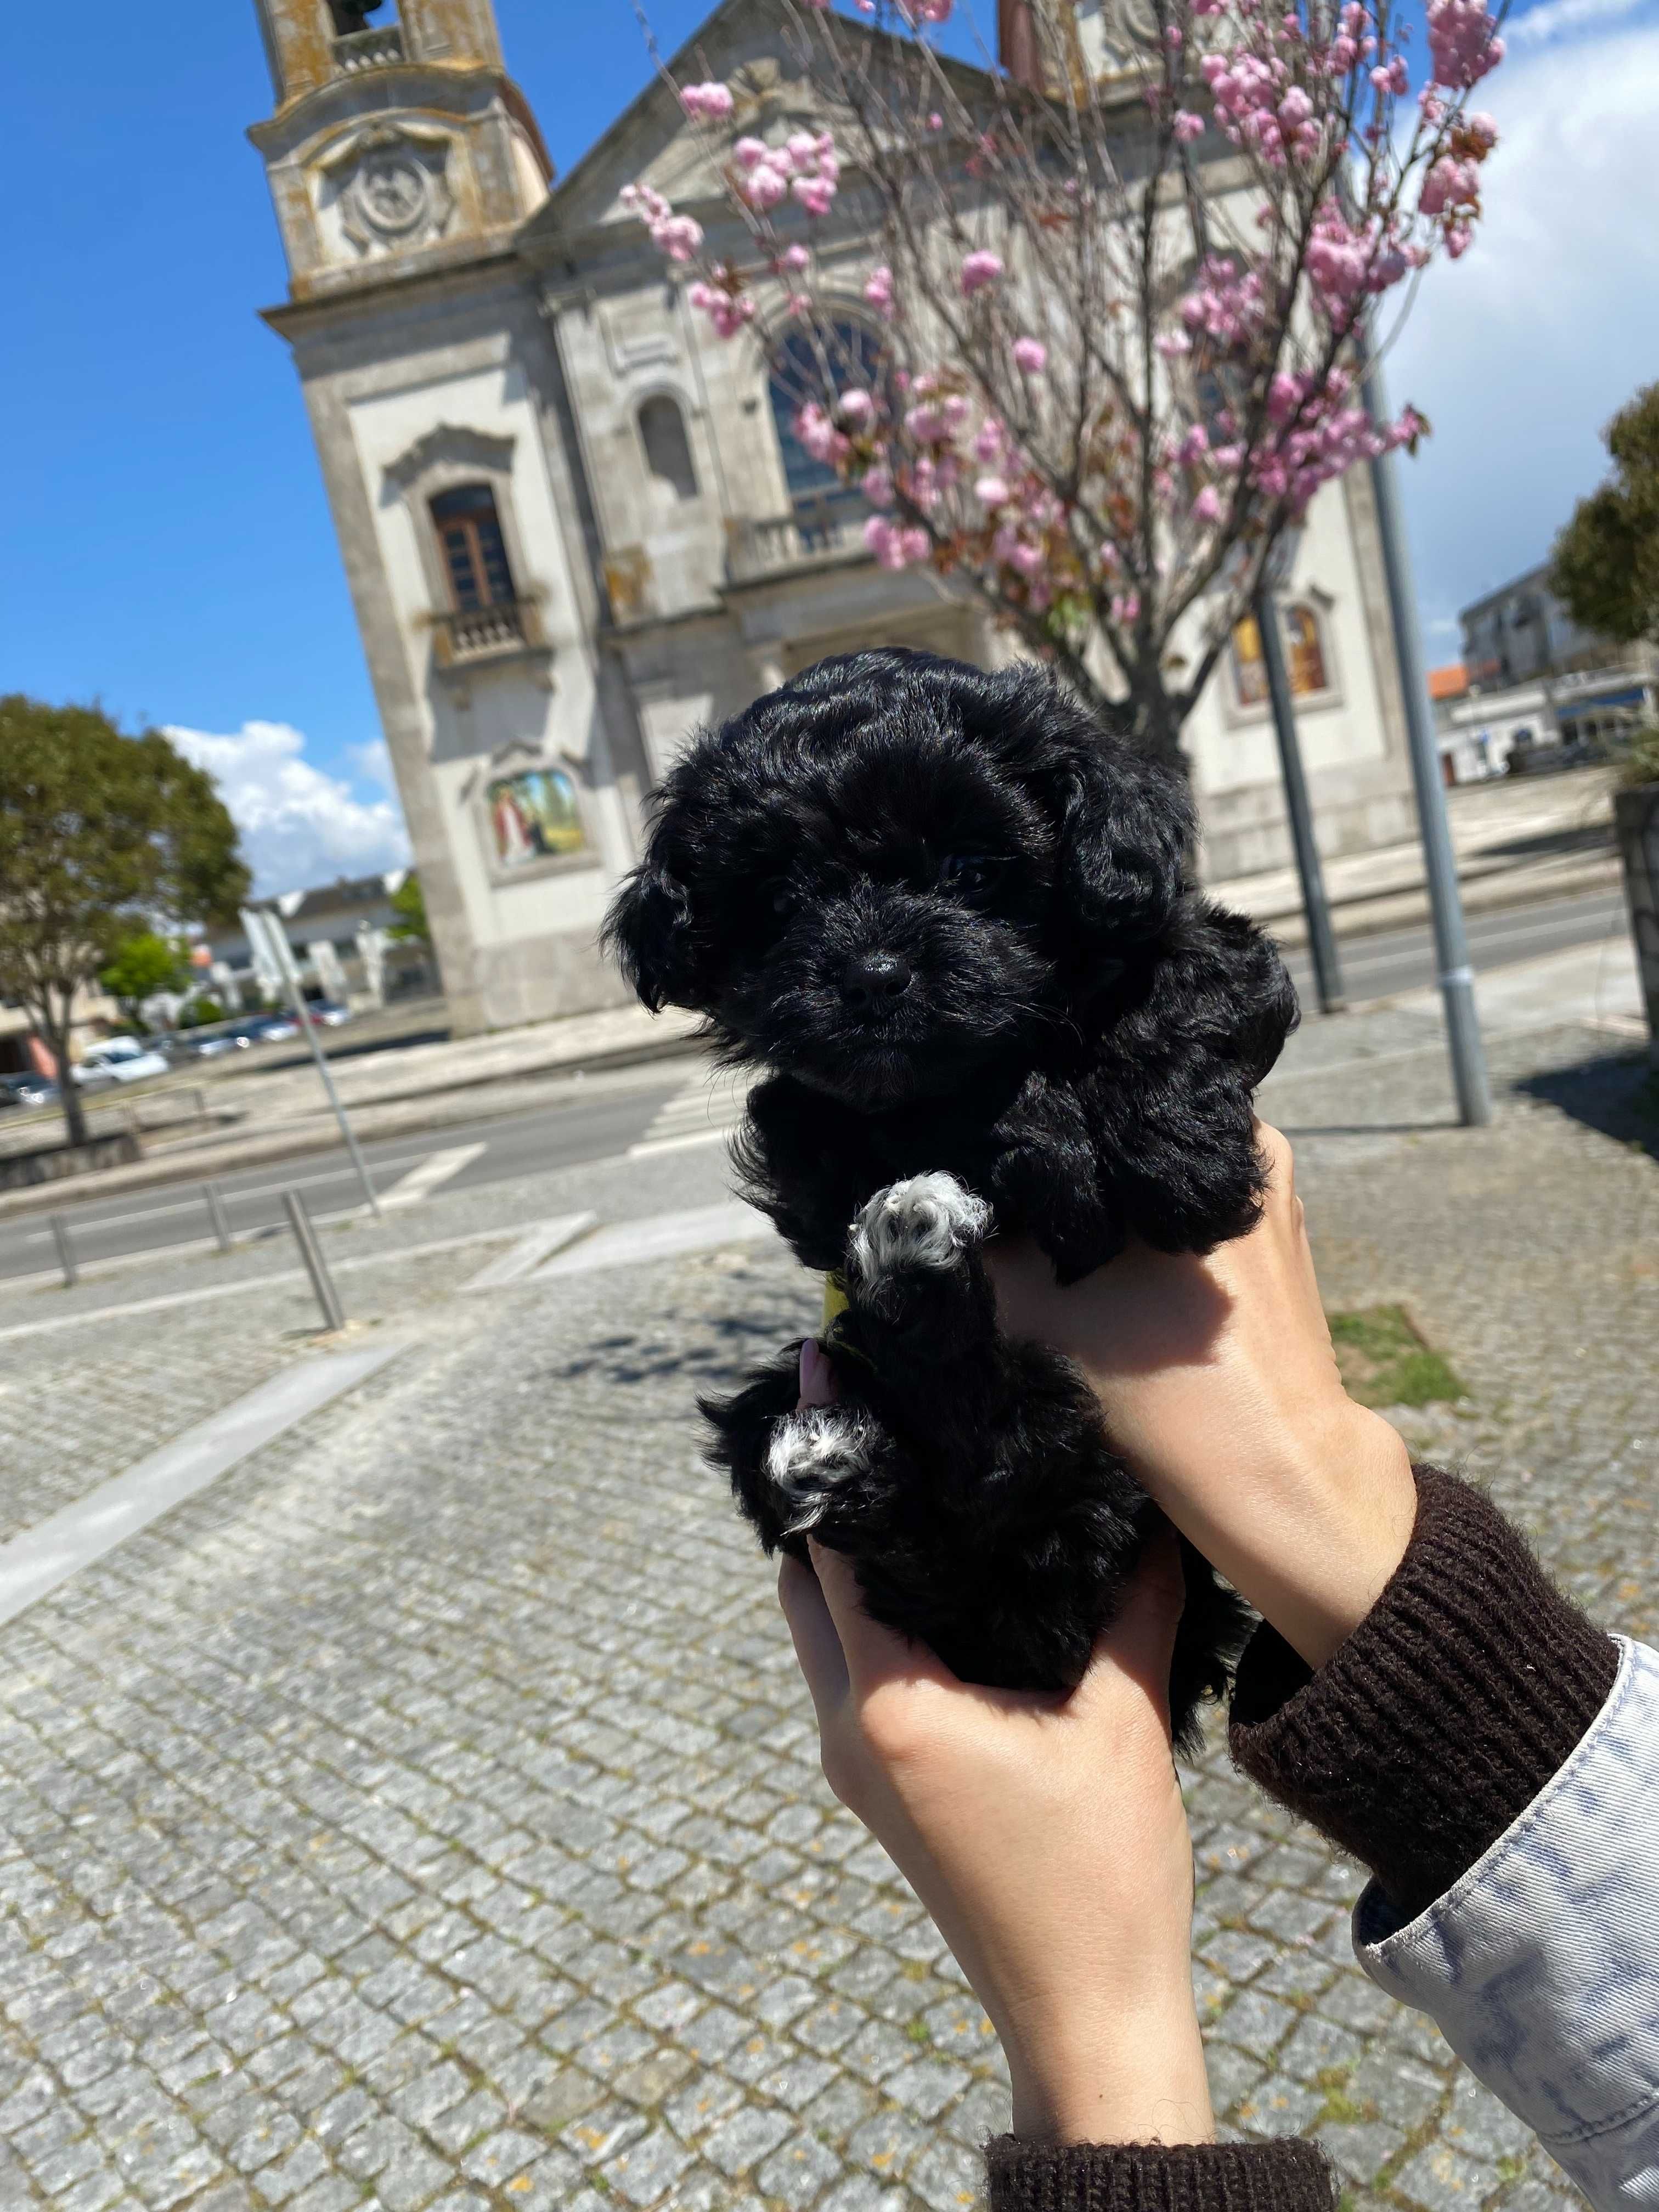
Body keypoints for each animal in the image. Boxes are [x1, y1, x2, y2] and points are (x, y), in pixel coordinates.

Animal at [606, 646, 1300, 1752]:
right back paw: (866, 1384)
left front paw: (1181, 1158)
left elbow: (1184, 989)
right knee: (982, 1478)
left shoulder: (1198, 942)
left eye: (975, 870)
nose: (873, 972)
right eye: (782, 896)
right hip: (818, 1400)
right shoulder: (808, 1126)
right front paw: (1044, 1140)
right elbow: (883, 1127)